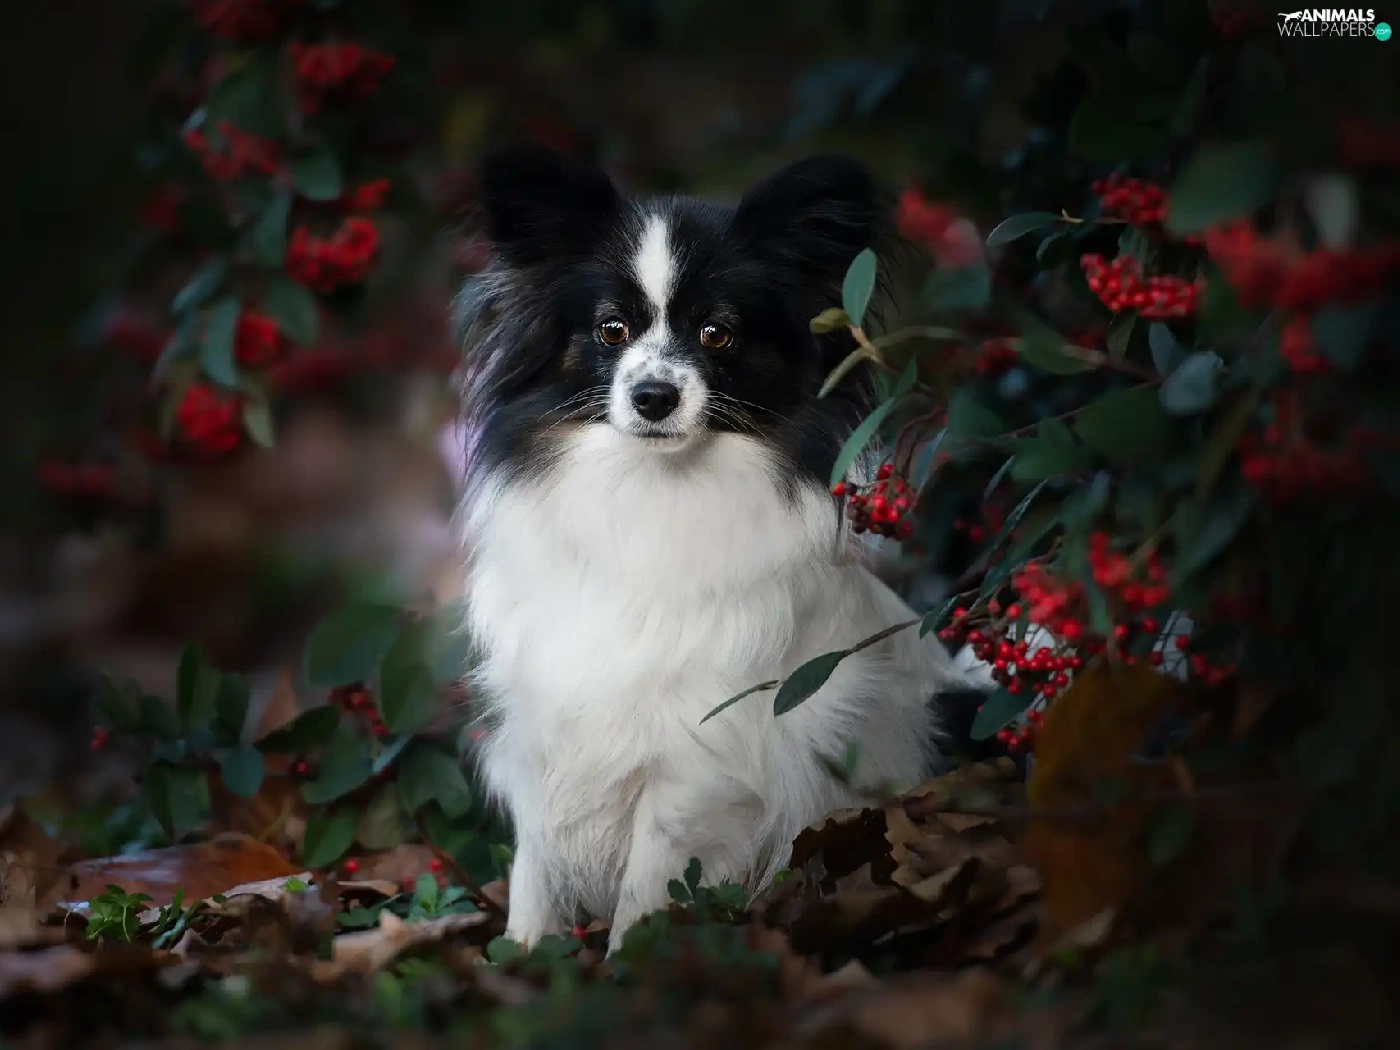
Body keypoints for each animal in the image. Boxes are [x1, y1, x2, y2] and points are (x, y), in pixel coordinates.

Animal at [452, 146, 987, 952]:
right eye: (611, 330)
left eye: (717, 335)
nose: (653, 397)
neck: (649, 494)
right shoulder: (548, 724)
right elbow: (533, 872)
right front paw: (520, 959)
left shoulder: (697, 756)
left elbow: (648, 882)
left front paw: (625, 964)